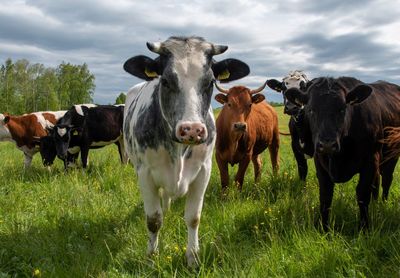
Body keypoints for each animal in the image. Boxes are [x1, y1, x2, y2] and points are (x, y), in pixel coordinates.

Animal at [124, 35, 250, 266]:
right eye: (165, 81)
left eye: (210, 82)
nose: (192, 129)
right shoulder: (144, 173)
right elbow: (153, 220)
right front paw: (151, 258)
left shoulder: (204, 171)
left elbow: (193, 217)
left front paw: (192, 258)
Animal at [286, 76, 400, 230]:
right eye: (311, 110)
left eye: (342, 109)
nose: (327, 144)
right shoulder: (320, 162)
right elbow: (326, 195)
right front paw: (324, 228)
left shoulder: (371, 160)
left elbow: (363, 194)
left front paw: (364, 228)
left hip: (391, 155)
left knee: (387, 180)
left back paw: (382, 205)